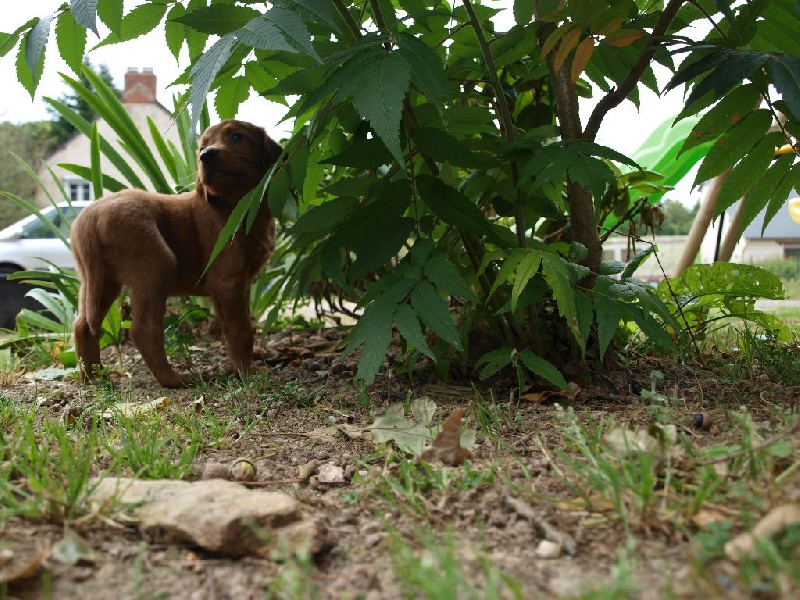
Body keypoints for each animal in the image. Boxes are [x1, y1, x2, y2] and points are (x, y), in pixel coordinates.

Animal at [72, 119, 282, 386]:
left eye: (237, 136)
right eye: (202, 146)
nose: (206, 155)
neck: (235, 205)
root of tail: (90, 216)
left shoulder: (237, 285)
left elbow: (238, 324)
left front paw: (250, 358)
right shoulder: (229, 283)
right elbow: (241, 329)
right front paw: (248, 371)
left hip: (97, 280)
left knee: (83, 325)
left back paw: (93, 376)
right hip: (157, 263)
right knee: (143, 328)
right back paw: (174, 379)